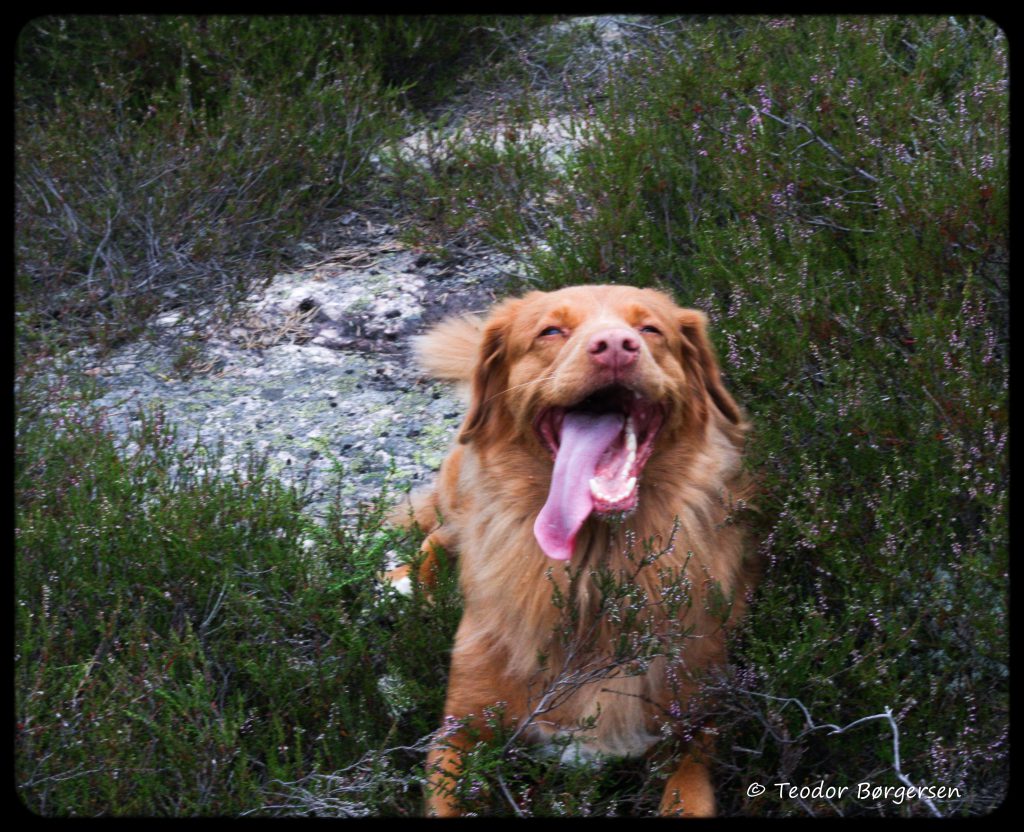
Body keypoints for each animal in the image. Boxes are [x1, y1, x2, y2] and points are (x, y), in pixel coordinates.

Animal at [387, 282, 757, 815]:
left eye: (650, 329)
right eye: (550, 331)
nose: (616, 347)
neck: (592, 567)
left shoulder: (694, 723)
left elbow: (687, 795)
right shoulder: (457, 731)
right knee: (446, 527)